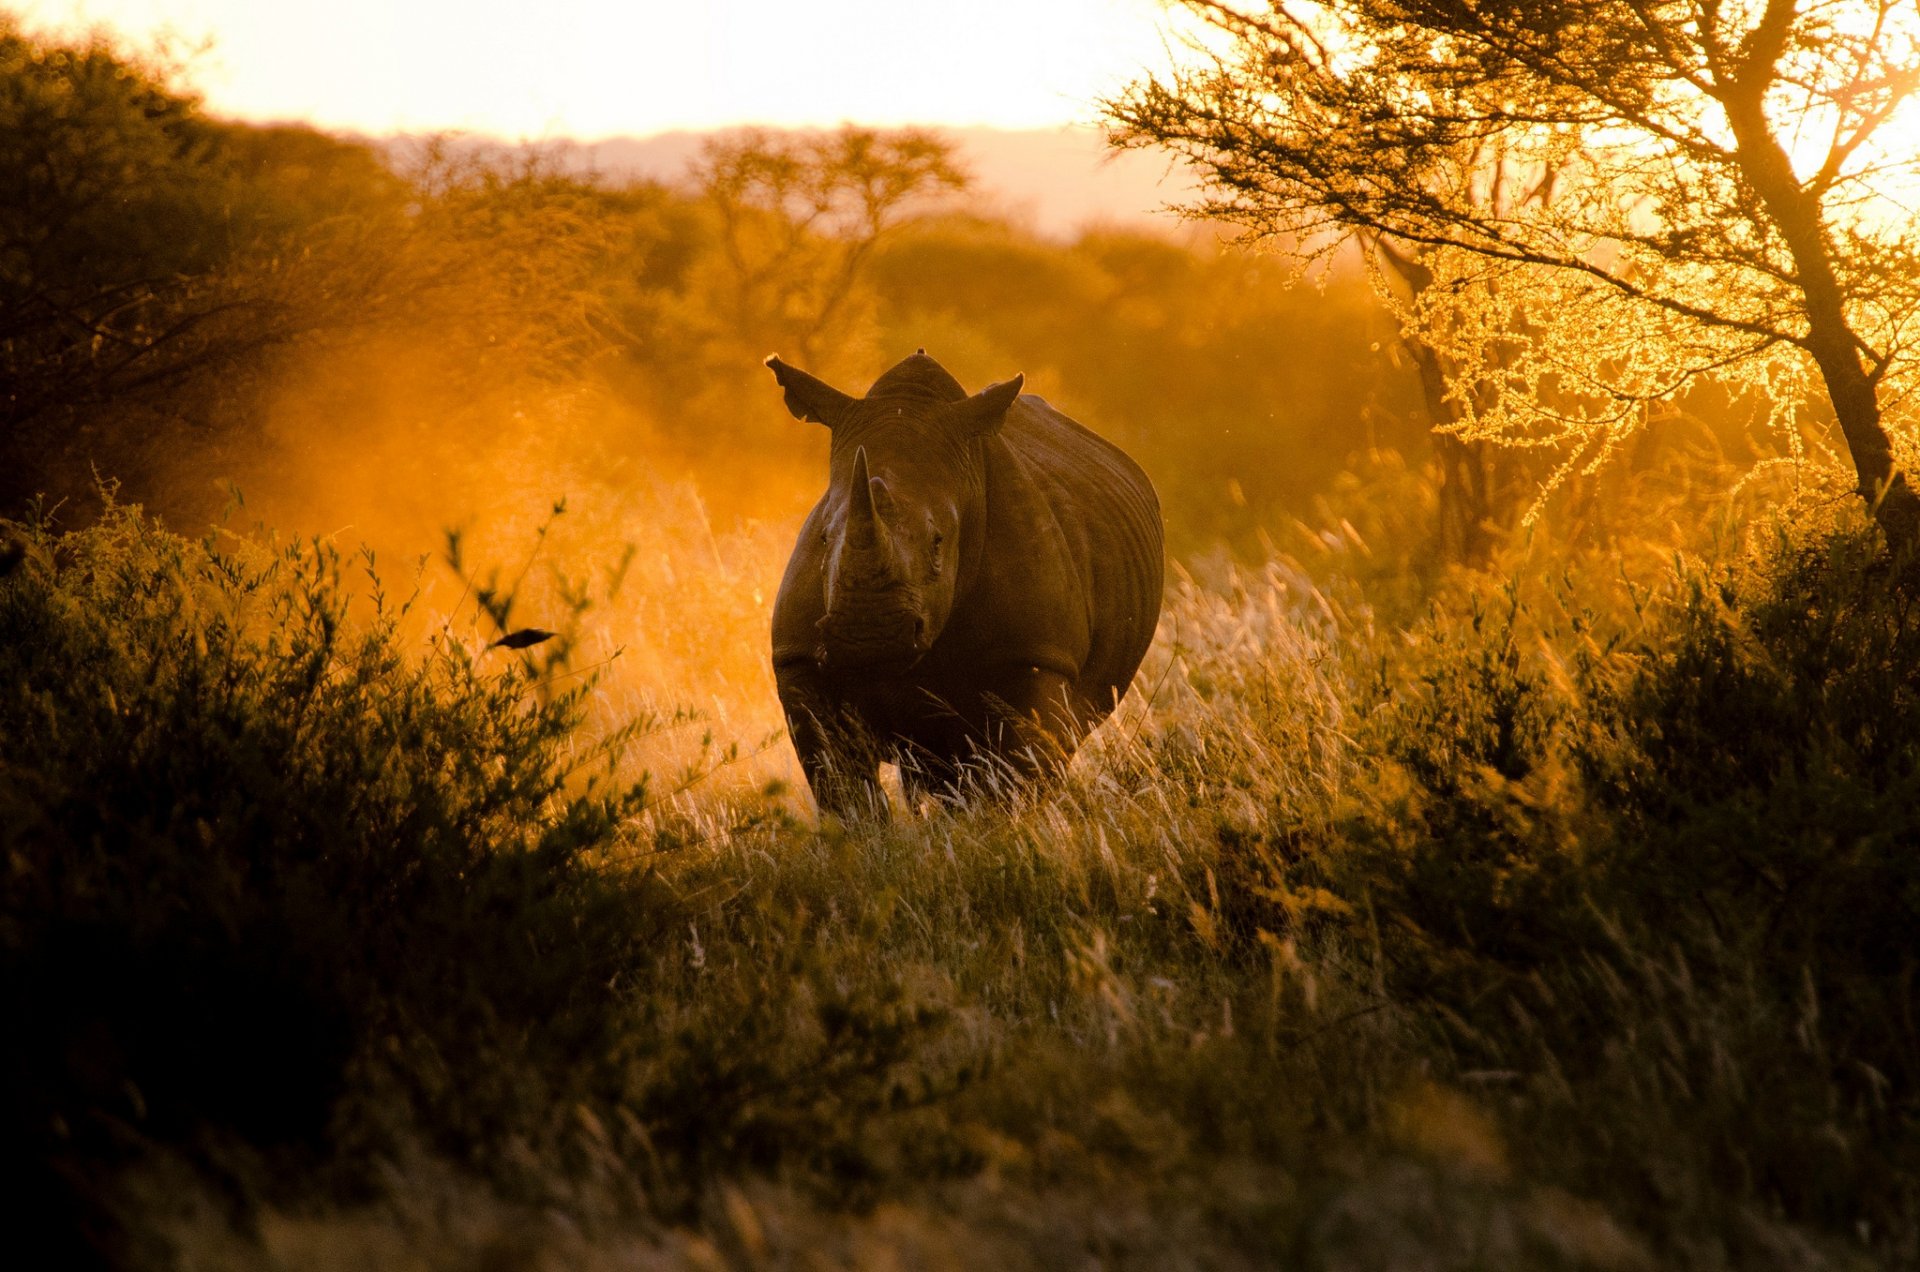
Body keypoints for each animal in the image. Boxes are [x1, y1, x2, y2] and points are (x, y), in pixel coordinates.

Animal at [766, 349, 1164, 816]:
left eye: (939, 541)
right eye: (825, 538)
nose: (868, 635)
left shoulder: (1036, 654)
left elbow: (1012, 772)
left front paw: (1000, 827)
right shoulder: (800, 659)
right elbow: (840, 782)